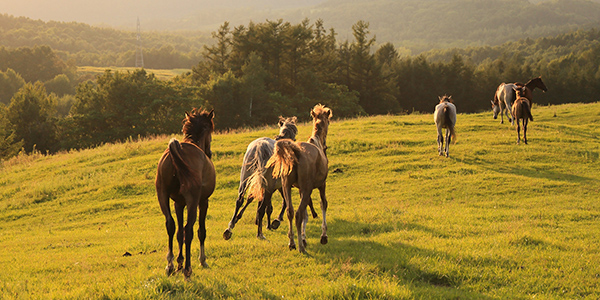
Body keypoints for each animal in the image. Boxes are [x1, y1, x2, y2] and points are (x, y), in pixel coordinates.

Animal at [155, 109, 216, 280]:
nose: (209, 152)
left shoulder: (178, 203)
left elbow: (178, 232)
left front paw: (179, 262)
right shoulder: (203, 202)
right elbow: (200, 231)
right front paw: (202, 260)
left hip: (163, 196)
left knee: (170, 225)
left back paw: (170, 266)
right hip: (193, 202)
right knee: (189, 230)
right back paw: (188, 269)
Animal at [248, 103, 332, 253]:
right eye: (329, 121)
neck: (317, 144)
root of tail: (296, 152)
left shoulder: (299, 189)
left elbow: (305, 213)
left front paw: (303, 238)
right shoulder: (320, 185)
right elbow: (323, 204)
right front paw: (323, 236)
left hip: (286, 186)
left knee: (290, 211)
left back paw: (292, 242)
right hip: (304, 188)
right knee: (297, 213)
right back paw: (300, 247)